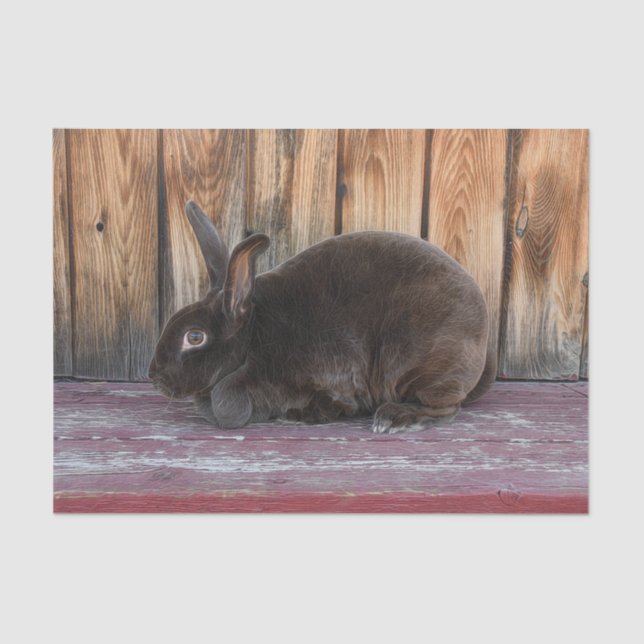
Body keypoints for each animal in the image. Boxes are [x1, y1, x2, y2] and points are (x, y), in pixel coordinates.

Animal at [148, 200, 497, 433]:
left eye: (195, 337)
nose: (154, 376)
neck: (252, 342)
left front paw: (295, 416)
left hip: (421, 366)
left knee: (446, 407)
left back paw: (393, 418)